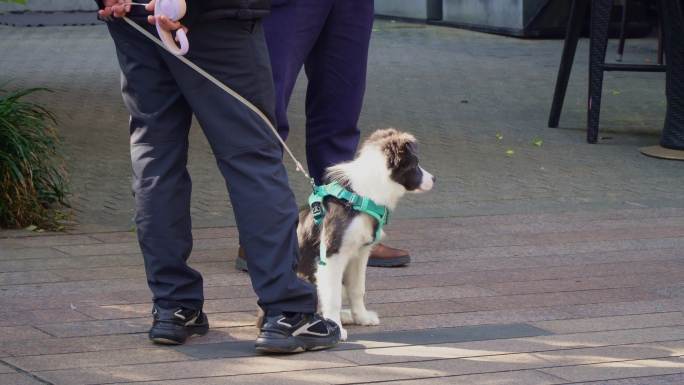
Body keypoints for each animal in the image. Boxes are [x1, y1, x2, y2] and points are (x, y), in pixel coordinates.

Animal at [296, 129, 436, 340]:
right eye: (415, 164)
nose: (435, 179)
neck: (361, 197)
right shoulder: (332, 256)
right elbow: (333, 296)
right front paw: (335, 327)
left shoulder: (360, 254)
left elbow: (357, 289)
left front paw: (361, 317)